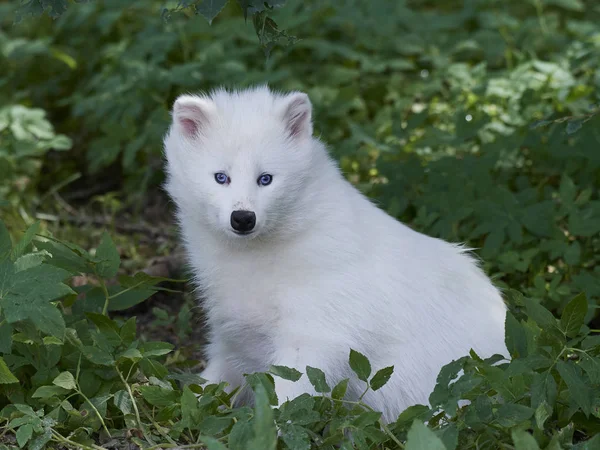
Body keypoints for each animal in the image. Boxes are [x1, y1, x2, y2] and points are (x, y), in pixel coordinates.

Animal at [163, 84, 506, 422]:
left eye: (266, 179)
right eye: (221, 177)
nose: (243, 219)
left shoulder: (314, 339)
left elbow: (285, 401)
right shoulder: (232, 339)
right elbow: (209, 384)